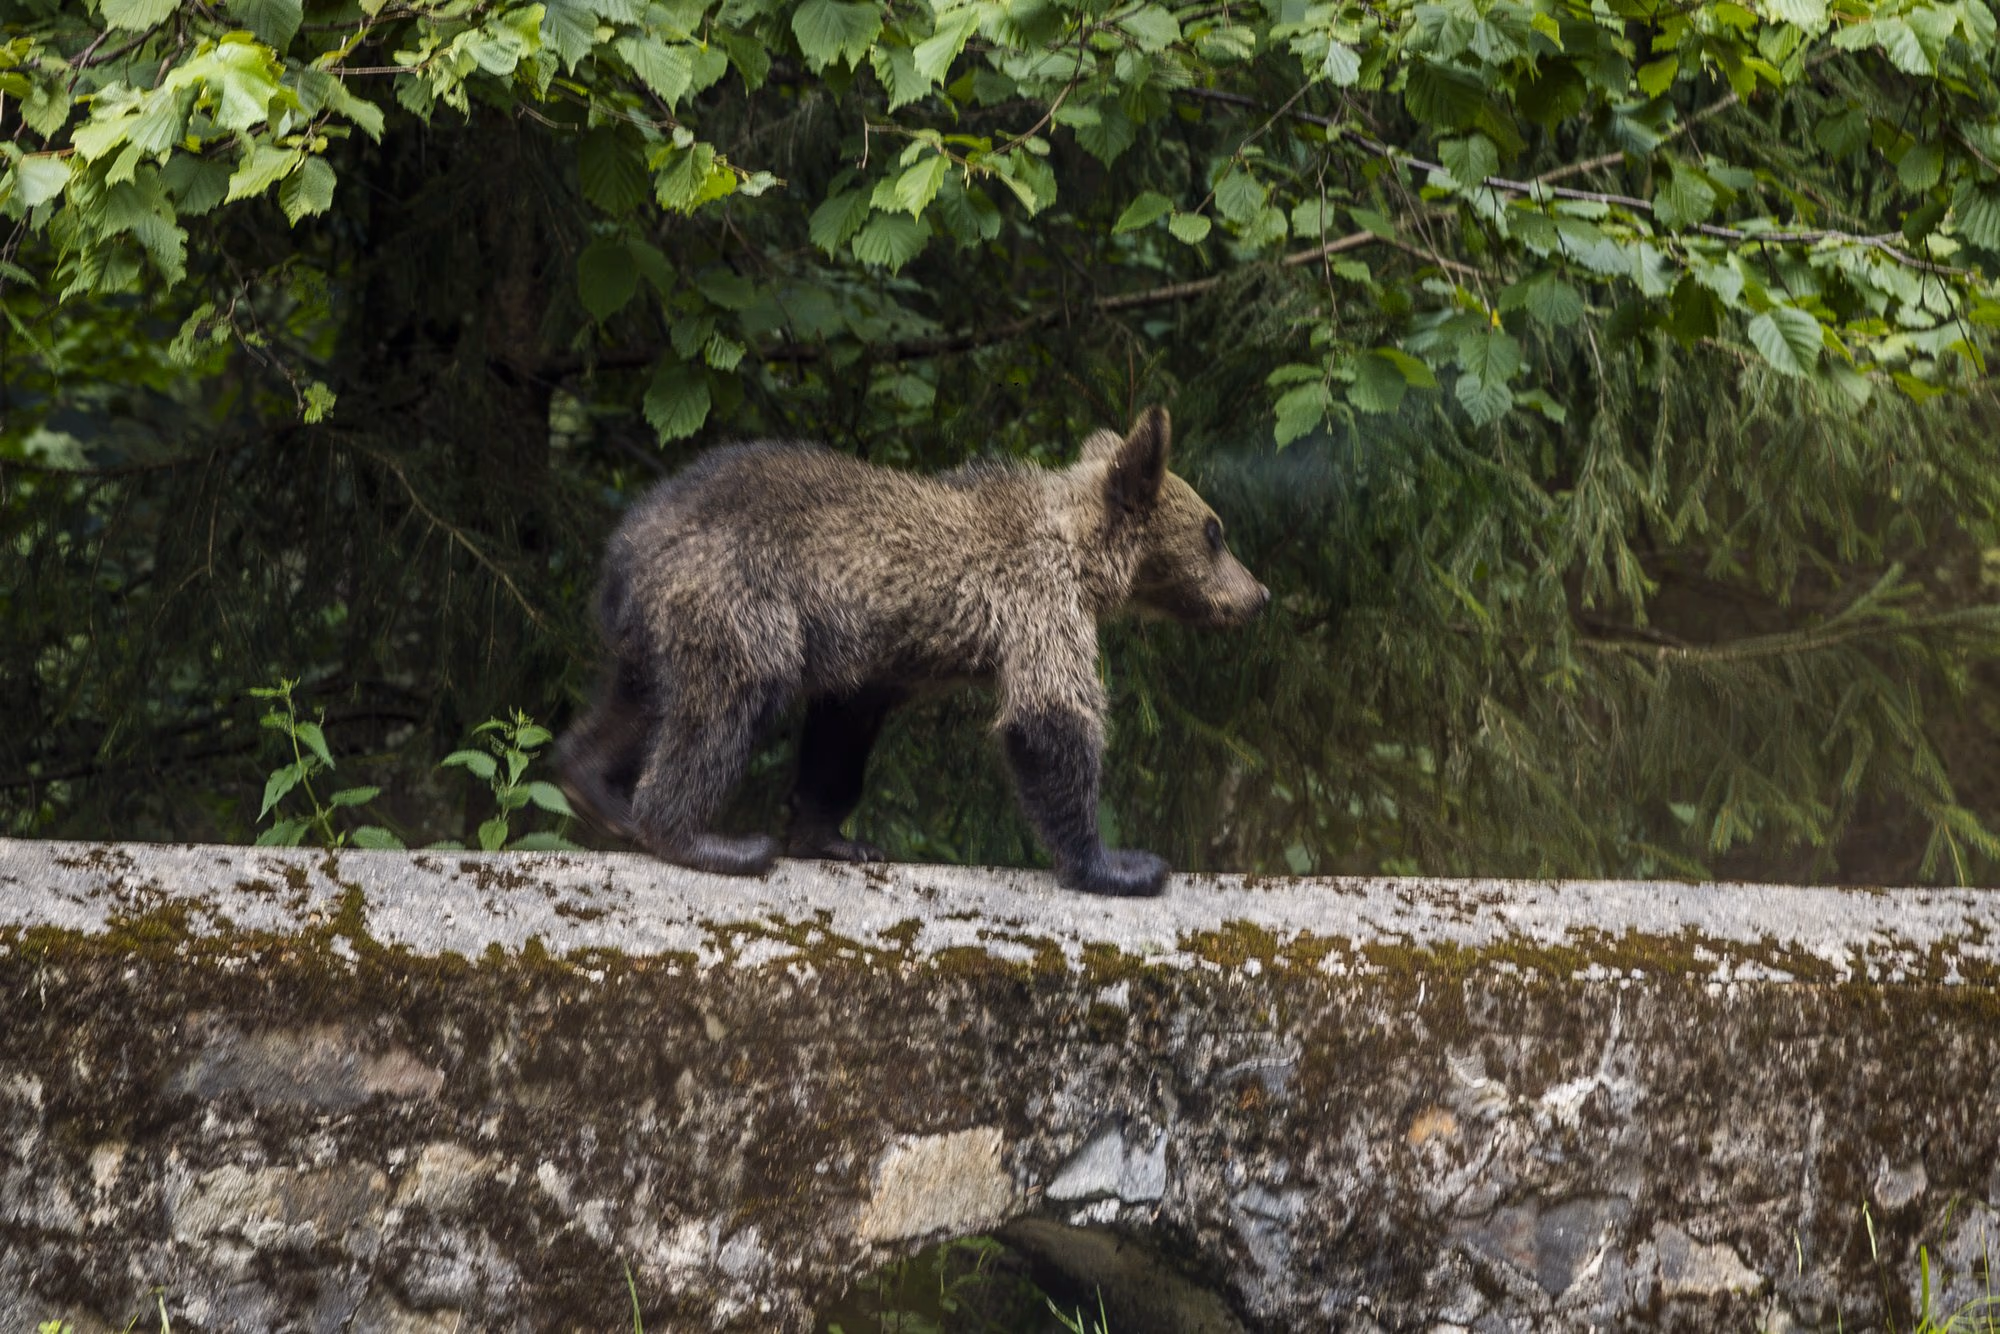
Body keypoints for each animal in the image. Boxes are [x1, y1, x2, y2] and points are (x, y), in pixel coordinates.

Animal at [553, 406, 1267, 897]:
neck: (1079, 552)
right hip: (738, 594)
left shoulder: (871, 665)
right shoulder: (1036, 603)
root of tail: (626, 543)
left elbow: (839, 737)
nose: (1258, 594)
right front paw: (1118, 863)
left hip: (657, 624)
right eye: (1215, 532)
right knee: (730, 698)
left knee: (635, 700)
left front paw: (837, 838)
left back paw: (593, 786)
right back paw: (706, 839)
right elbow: (1050, 714)